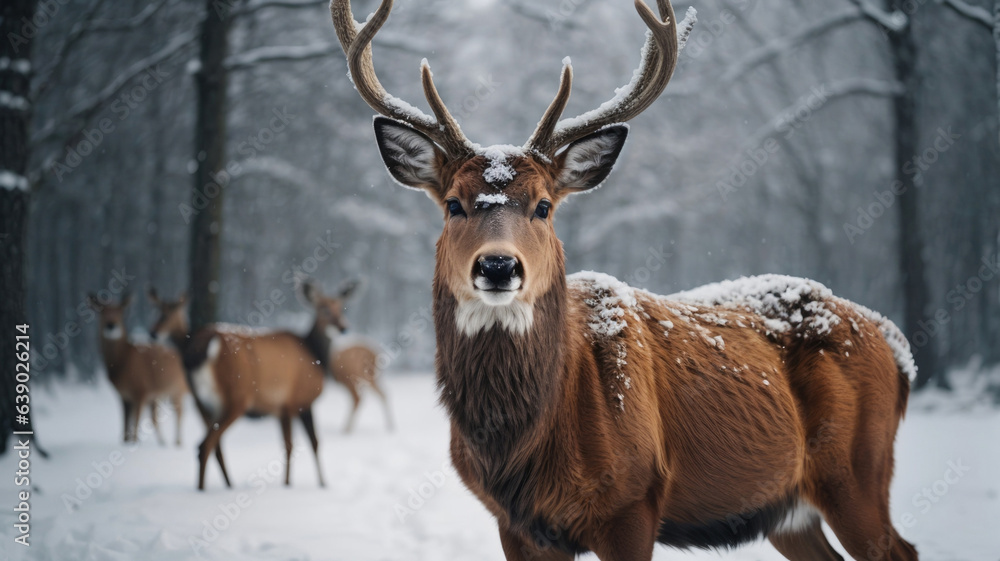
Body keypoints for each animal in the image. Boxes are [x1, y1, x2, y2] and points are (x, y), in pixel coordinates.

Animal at [87, 293, 187, 446]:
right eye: (102, 311)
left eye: (120, 312)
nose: (111, 325)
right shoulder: (123, 396)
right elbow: (125, 431)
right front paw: (126, 444)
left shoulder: (141, 390)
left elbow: (134, 429)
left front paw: (134, 444)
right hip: (157, 396)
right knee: (156, 418)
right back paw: (164, 443)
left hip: (177, 389)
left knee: (179, 414)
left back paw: (177, 442)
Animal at [330, 1, 919, 560]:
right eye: (454, 203)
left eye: (543, 206)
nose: (498, 266)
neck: (528, 442)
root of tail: (895, 344)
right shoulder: (516, 523)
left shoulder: (632, 501)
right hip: (787, 511)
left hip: (858, 470)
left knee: (902, 547)